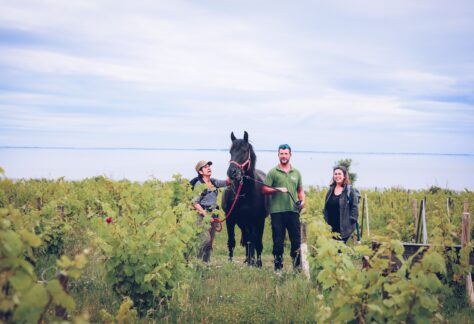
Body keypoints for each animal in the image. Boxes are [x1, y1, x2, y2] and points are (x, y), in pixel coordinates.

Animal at [221, 131, 266, 266]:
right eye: (230, 151)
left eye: (245, 151)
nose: (232, 172)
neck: (244, 192)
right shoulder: (230, 219)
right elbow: (232, 241)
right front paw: (230, 262)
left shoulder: (257, 220)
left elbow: (256, 242)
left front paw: (257, 264)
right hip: (242, 222)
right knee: (247, 239)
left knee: (254, 240)